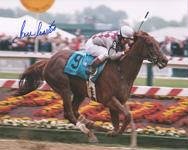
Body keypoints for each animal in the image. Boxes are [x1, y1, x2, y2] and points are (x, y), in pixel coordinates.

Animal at [14, 31, 167, 144]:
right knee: (69, 113)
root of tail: (48, 61)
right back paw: (88, 131)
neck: (121, 70)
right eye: (150, 44)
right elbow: (128, 115)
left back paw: (94, 126)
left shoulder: (119, 100)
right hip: (64, 88)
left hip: (79, 92)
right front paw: (114, 132)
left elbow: (121, 119)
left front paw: (113, 132)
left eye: (157, 42)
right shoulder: (108, 99)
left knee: (74, 111)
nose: (165, 60)